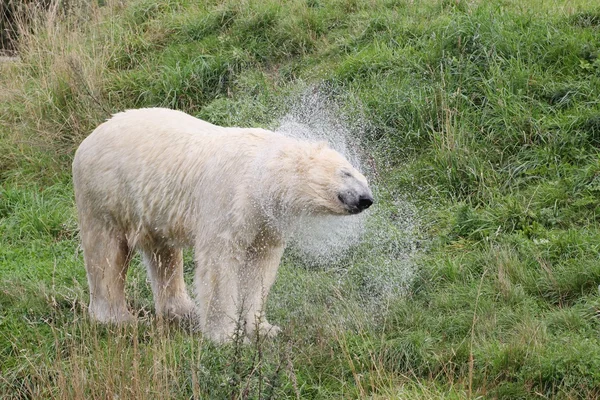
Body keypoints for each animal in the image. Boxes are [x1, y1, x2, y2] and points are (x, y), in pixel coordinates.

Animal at [72, 108, 372, 342]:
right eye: (346, 173)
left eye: (364, 177)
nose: (367, 199)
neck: (261, 174)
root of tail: (86, 141)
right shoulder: (229, 197)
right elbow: (219, 262)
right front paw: (226, 335)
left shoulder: (266, 221)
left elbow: (260, 267)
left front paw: (263, 328)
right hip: (106, 193)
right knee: (105, 254)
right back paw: (118, 318)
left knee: (164, 255)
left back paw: (183, 311)